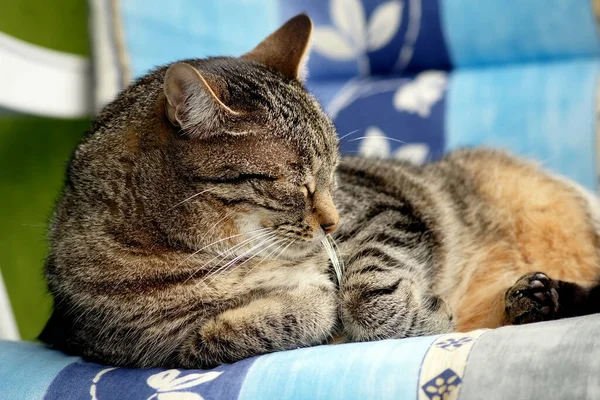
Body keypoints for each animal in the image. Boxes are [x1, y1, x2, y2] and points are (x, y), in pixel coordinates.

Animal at [41, 14, 600, 368]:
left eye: (334, 173)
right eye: (298, 181)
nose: (332, 221)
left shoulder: (381, 212)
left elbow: (367, 294)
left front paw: (411, 310)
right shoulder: (145, 348)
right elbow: (238, 330)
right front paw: (311, 300)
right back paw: (536, 298)